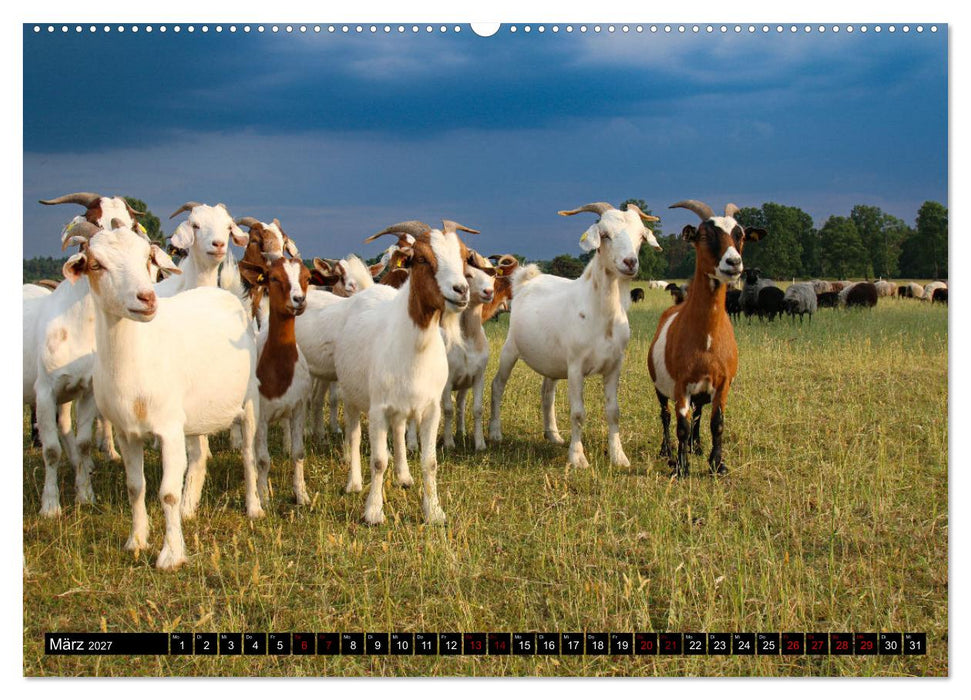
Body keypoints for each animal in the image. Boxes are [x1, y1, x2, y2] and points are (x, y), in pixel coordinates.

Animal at [62, 222, 260, 569]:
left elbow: (167, 493)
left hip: (249, 401)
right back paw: (189, 508)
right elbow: (135, 487)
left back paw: (253, 507)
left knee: (248, 454)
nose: (147, 298)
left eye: (147, 259)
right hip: (194, 415)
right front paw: (136, 540)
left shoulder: (168, 429)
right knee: (198, 456)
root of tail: (226, 293)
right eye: (96, 264)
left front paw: (171, 554)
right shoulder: (127, 433)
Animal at [335, 220, 475, 524]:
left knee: (398, 432)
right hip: (350, 396)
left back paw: (404, 476)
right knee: (353, 435)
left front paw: (434, 512)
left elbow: (430, 461)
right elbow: (378, 461)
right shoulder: (377, 408)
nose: (461, 290)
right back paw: (353, 484)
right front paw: (373, 512)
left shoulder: (431, 407)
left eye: (463, 256)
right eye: (421, 258)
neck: (416, 348)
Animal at [489, 202, 662, 469]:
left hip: (551, 360)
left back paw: (553, 435)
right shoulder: (576, 366)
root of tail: (527, 279)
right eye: (605, 234)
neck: (603, 316)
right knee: (498, 385)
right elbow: (578, 413)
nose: (630, 262)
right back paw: (495, 433)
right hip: (511, 348)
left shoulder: (615, 365)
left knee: (547, 392)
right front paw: (578, 458)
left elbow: (614, 412)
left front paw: (619, 457)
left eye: (641, 236)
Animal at [648, 200, 766, 477]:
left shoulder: (722, 384)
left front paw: (717, 464)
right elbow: (681, 425)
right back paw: (667, 451)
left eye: (740, 235)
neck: (707, 340)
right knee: (665, 415)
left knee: (699, 414)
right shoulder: (681, 385)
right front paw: (681, 468)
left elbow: (716, 423)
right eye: (704, 234)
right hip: (660, 386)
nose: (733, 262)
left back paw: (697, 446)